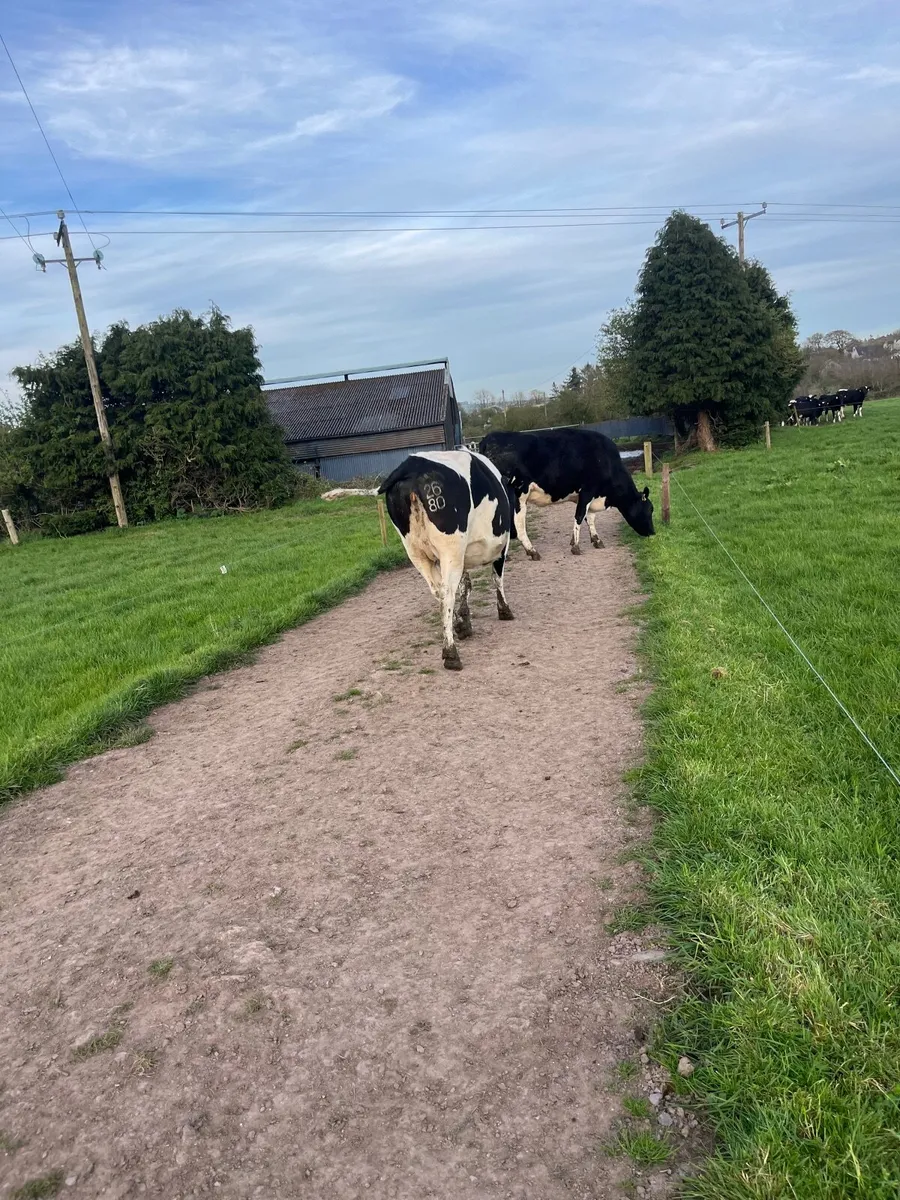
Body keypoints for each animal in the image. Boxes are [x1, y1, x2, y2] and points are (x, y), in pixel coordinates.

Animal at [322, 450, 516, 670]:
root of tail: (411, 465)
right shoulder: (500, 547)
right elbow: (496, 578)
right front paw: (504, 611)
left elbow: (465, 585)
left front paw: (464, 622)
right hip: (450, 548)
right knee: (447, 593)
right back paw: (451, 653)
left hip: (416, 552)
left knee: (438, 591)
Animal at [478, 427, 655, 559]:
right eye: (649, 510)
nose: (653, 533)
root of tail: (490, 438)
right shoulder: (588, 490)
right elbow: (580, 516)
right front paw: (576, 546)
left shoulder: (590, 495)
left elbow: (590, 518)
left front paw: (595, 540)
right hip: (518, 495)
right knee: (517, 525)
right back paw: (532, 551)